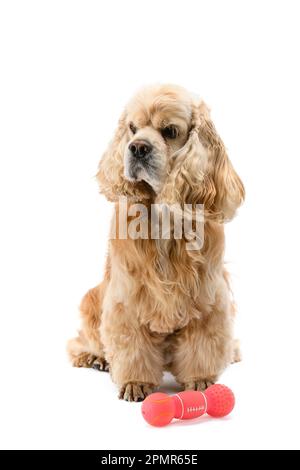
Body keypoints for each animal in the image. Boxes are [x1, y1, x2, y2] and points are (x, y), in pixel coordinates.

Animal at [67, 83, 244, 400]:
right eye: (132, 128)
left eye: (169, 131)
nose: (137, 147)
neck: (165, 217)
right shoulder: (127, 298)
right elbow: (131, 344)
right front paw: (135, 382)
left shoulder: (208, 298)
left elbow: (204, 342)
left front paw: (200, 378)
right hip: (91, 300)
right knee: (79, 342)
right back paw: (95, 357)